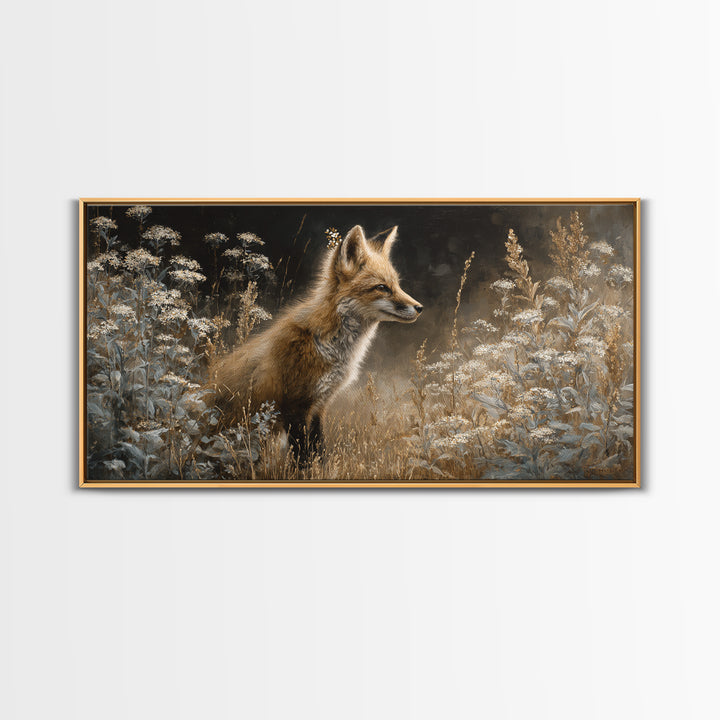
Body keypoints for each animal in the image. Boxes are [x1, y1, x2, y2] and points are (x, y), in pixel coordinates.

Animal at [212, 224, 423, 463]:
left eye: (397, 285)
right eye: (382, 287)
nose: (419, 307)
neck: (327, 345)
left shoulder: (319, 405)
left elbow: (318, 451)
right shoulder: (295, 406)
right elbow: (302, 458)